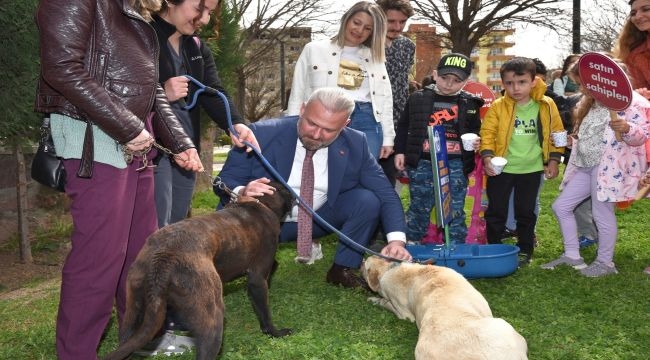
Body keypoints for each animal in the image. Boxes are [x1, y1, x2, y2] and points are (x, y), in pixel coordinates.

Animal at [103, 181, 292, 360]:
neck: (262, 203)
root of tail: (164, 256)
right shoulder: (257, 279)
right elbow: (265, 313)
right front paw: (276, 333)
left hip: (133, 313)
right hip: (213, 317)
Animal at [360, 256, 528, 360]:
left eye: (364, 264)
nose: (360, 261)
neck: (390, 269)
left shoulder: (403, 313)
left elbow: (386, 303)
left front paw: (375, 299)